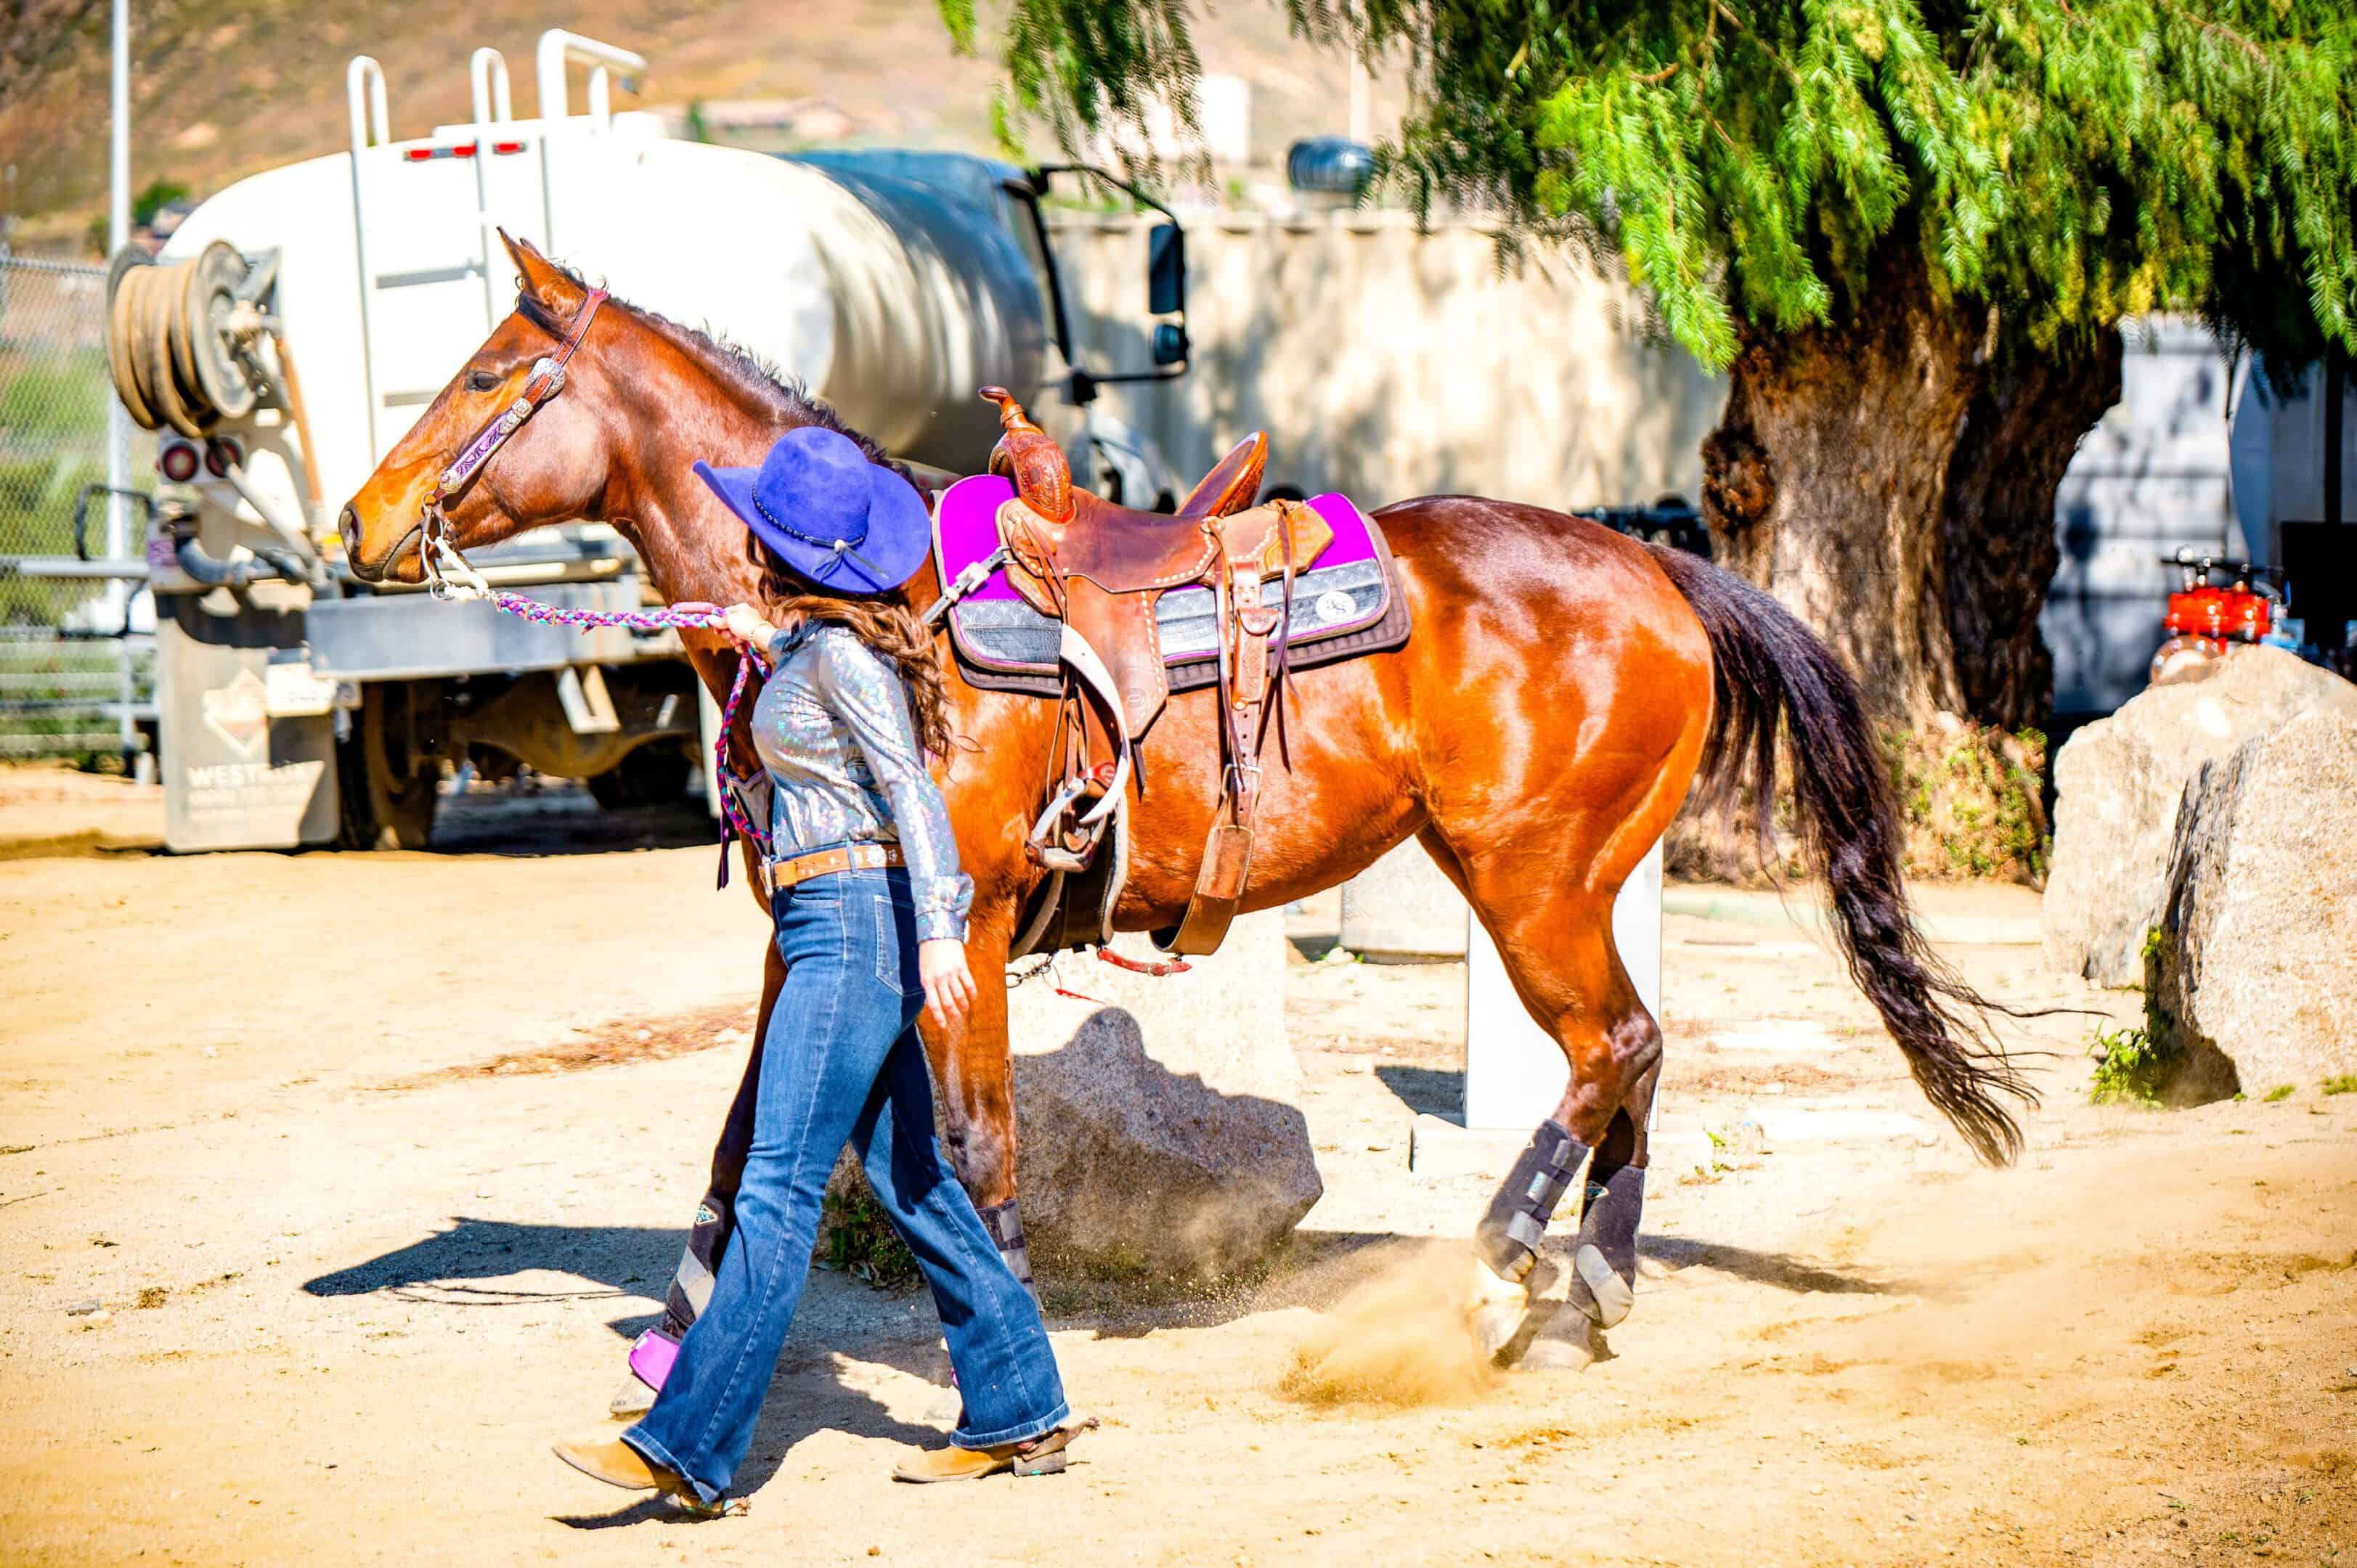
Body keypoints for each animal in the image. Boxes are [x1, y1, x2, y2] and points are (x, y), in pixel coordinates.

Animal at [339, 234, 2031, 1364]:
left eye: (484, 374)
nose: (358, 522)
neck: (853, 603)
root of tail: (1666, 569)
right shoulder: (815, 931)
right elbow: (745, 1130)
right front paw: (682, 1331)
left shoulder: (969, 927)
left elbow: (979, 1147)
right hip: (1567, 881)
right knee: (1639, 1055)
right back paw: (1586, 1291)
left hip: (1530, 883)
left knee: (1610, 1048)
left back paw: (1502, 1266)